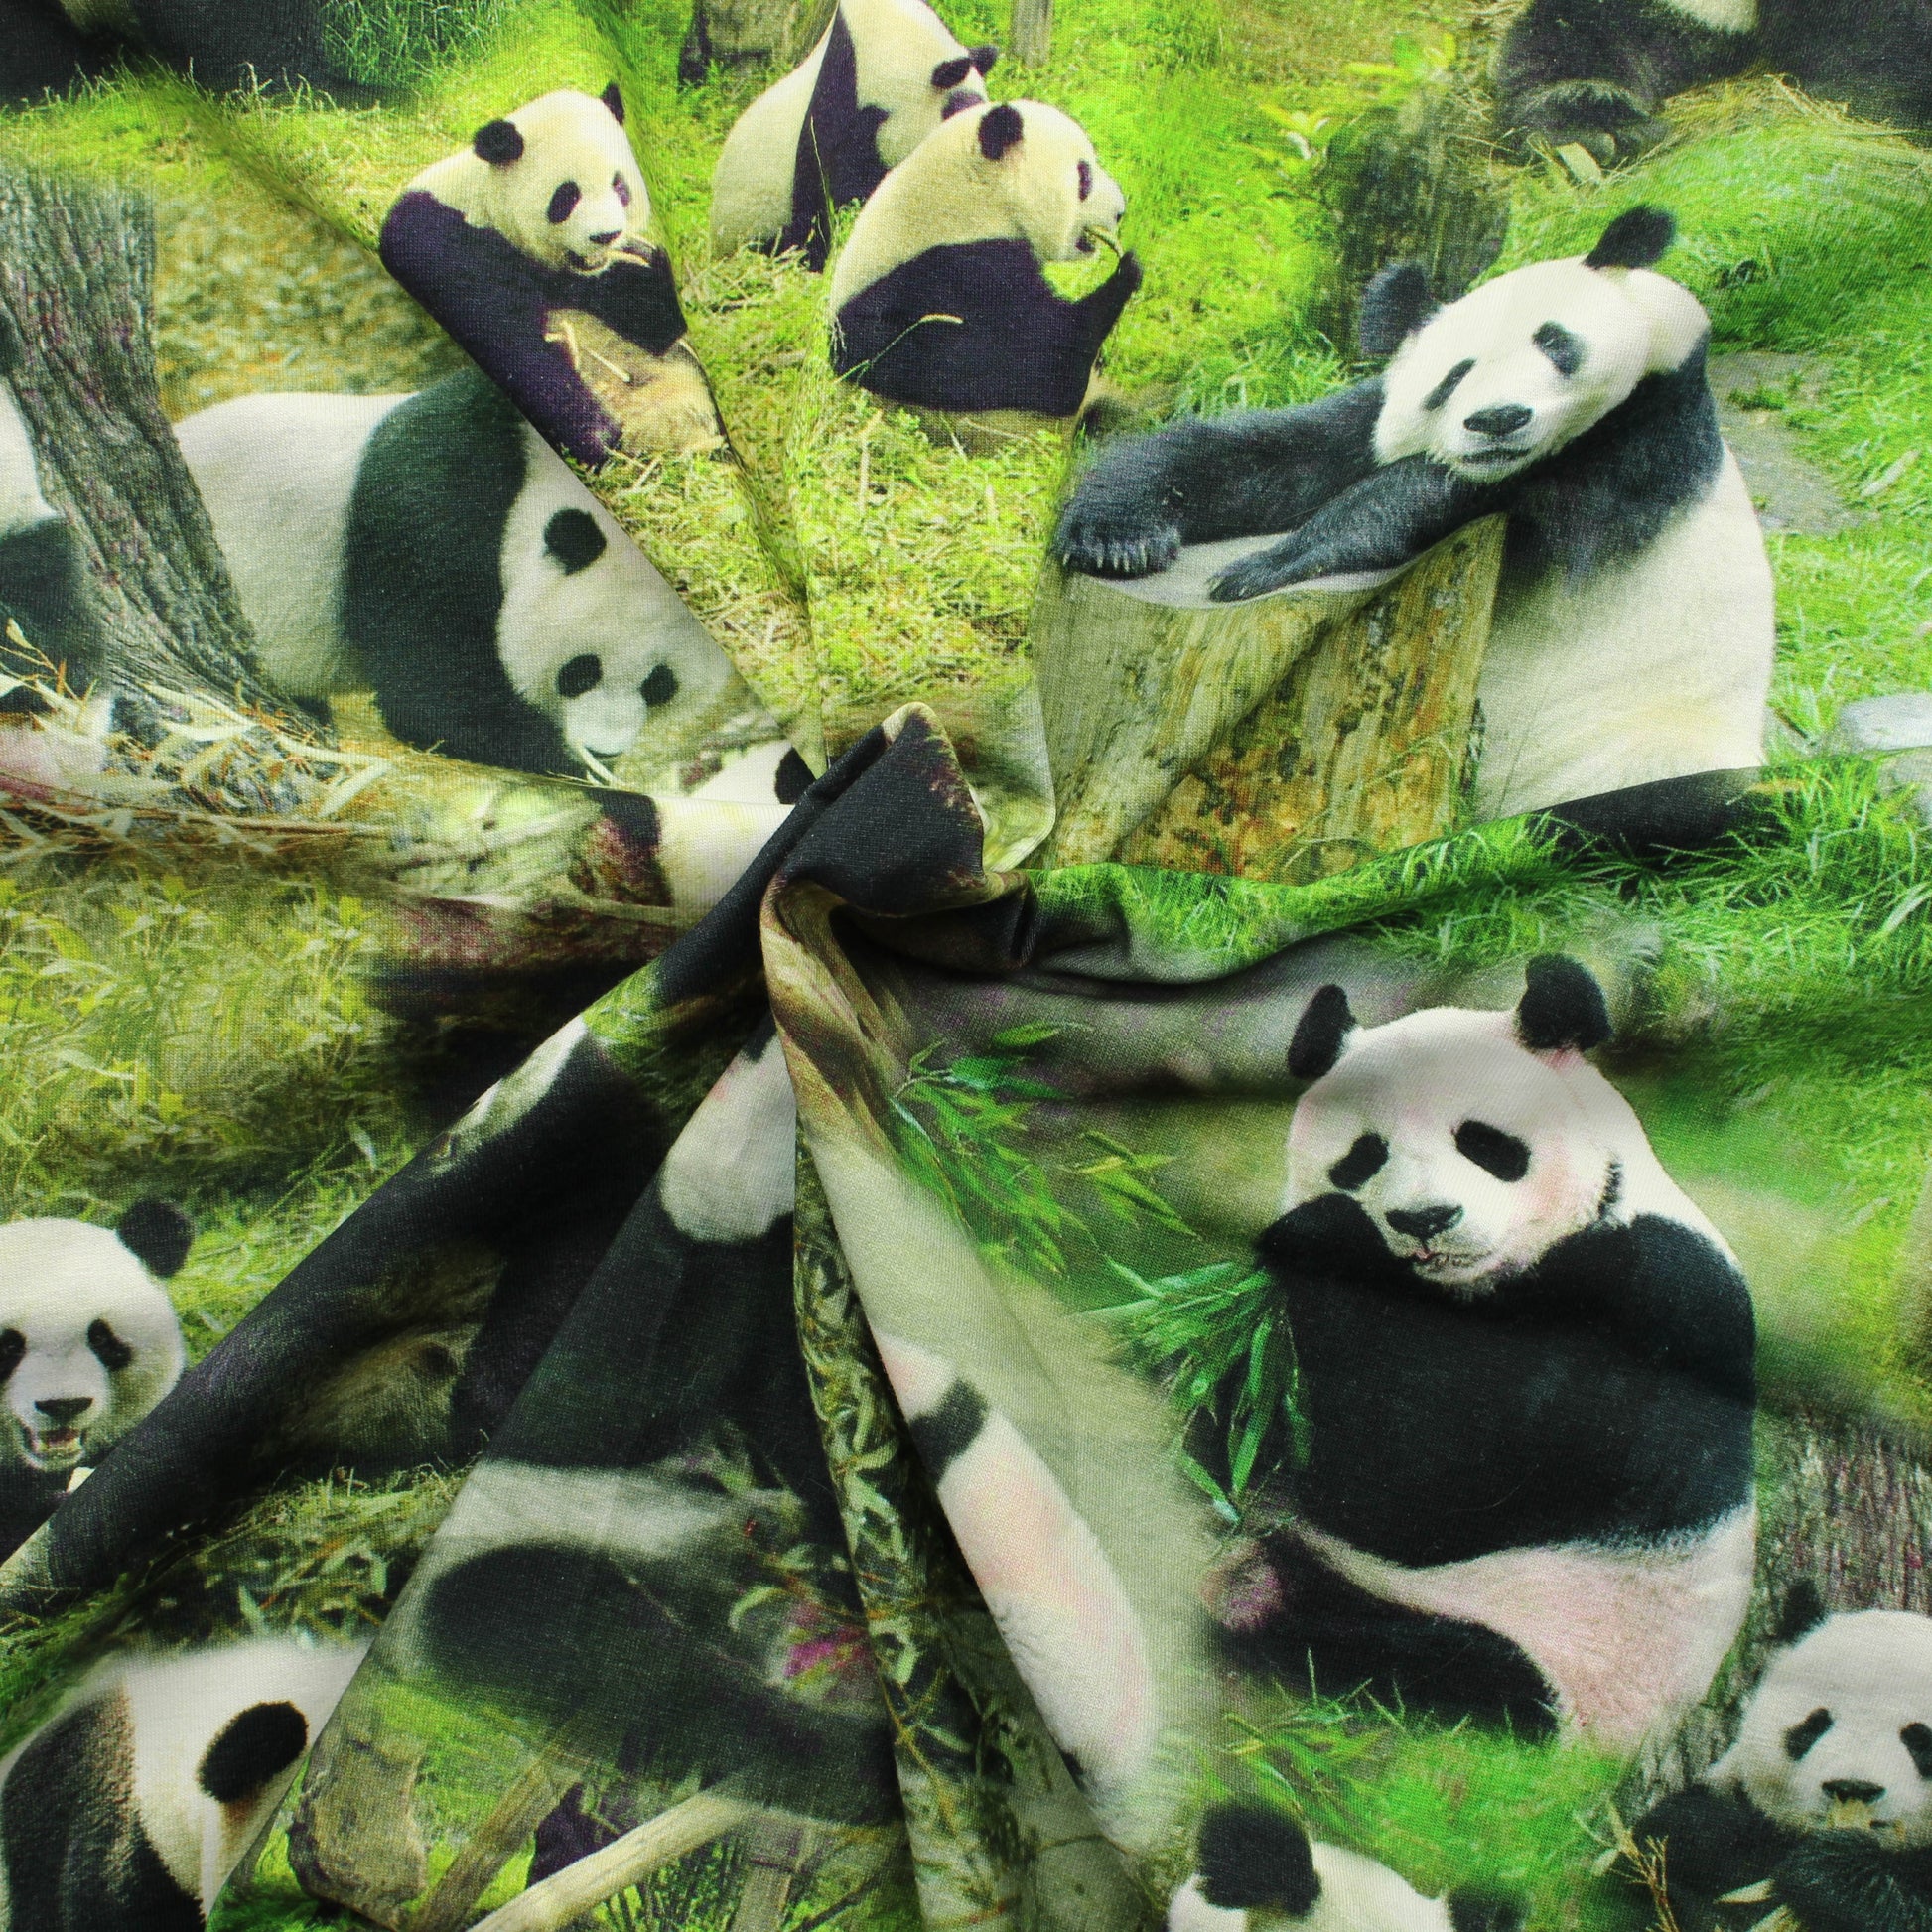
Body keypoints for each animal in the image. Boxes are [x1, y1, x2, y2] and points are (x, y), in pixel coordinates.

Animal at [174, 366, 732, 782]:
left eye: (660, 685)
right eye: (580, 671)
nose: (605, 749)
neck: (534, 473)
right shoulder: (432, 511)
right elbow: (434, 693)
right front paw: (564, 761)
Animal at [378, 85, 688, 469]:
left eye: (620, 186)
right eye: (567, 195)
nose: (606, 235)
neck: (486, 205)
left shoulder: (580, 276)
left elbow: (655, 329)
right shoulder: (445, 244)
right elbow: (510, 344)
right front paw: (595, 434)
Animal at [1052, 206, 1774, 822]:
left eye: (1554, 343)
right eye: (1455, 376)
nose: (1498, 418)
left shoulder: (1644, 440)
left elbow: (1441, 494)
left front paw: (1270, 562)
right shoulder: (1369, 422)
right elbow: (1261, 458)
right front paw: (1114, 536)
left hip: (1647, 738)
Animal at [1194, 956, 1757, 1747]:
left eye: (1485, 1143)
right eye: (1363, 1156)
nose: (1425, 1219)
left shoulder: (1658, 1292)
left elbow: (1416, 1483)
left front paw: (1321, 1237)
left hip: (1558, 1653)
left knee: (1425, 1665)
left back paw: (1255, 1603)